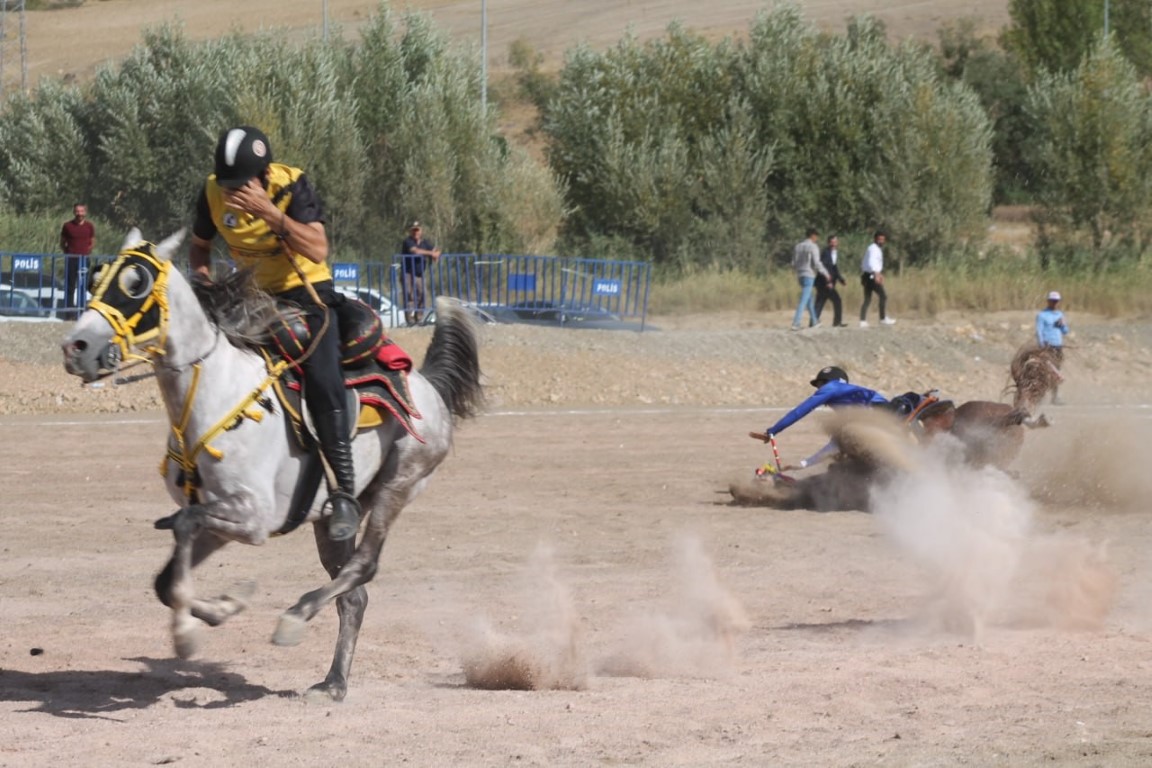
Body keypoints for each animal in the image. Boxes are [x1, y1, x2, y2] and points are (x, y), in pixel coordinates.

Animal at [60, 230, 483, 704]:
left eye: (136, 283)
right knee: (354, 596)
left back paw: (295, 618)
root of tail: (427, 383)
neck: (215, 393)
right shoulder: (220, 520)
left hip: (400, 483)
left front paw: (191, 631)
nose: (76, 348)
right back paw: (333, 682)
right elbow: (167, 579)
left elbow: (184, 528)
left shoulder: (254, 518)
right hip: (330, 521)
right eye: (96, 277)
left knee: (365, 566)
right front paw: (222, 608)